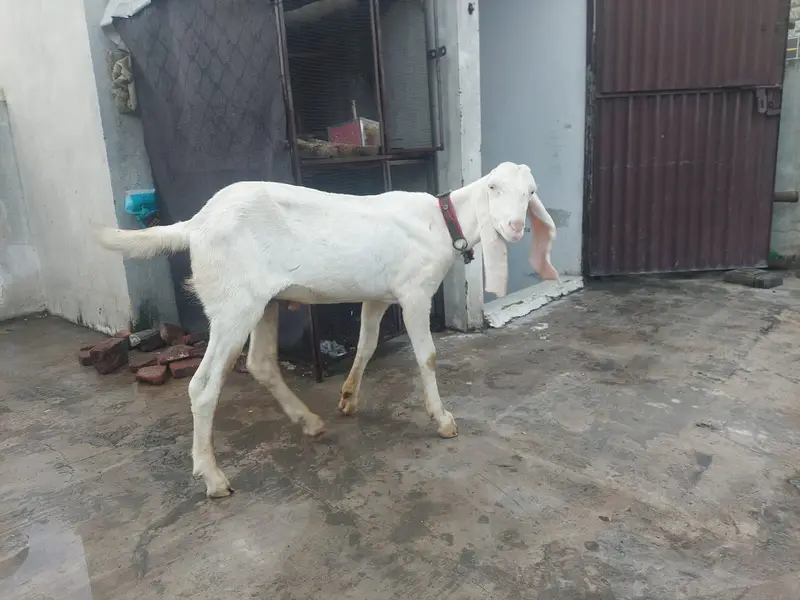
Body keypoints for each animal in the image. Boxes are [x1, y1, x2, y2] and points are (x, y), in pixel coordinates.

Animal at [95, 161, 558, 498]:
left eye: (531, 193)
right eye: (493, 188)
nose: (515, 228)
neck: (442, 222)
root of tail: (196, 225)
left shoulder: (378, 295)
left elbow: (367, 345)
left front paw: (349, 398)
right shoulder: (413, 292)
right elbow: (426, 356)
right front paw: (442, 419)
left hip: (263, 302)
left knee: (261, 362)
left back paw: (310, 422)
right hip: (233, 303)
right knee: (203, 385)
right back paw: (212, 477)